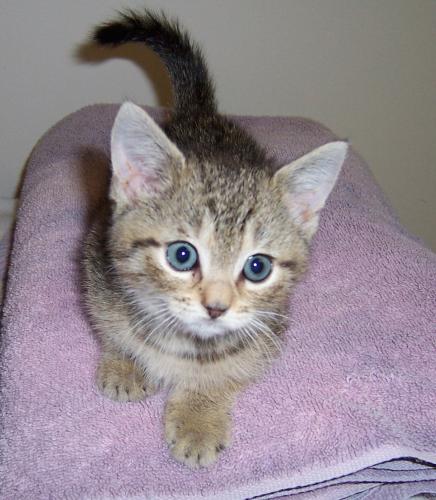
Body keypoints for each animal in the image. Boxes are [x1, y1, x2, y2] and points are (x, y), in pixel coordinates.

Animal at [82, 8, 348, 468]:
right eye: (182, 256)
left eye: (257, 267)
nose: (217, 307)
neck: (183, 342)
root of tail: (203, 116)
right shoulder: (98, 269)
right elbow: (112, 327)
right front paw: (125, 362)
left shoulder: (267, 330)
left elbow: (228, 369)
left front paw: (198, 418)